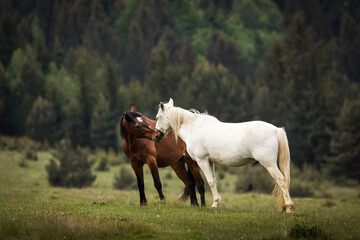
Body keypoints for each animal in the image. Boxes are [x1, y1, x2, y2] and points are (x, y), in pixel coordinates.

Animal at [153, 98, 294, 213]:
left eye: (158, 117)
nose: (156, 136)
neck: (194, 128)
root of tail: (275, 130)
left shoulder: (202, 160)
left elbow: (209, 182)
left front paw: (215, 204)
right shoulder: (210, 161)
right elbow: (214, 181)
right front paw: (218, 203)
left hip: (269, 164)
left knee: (281, 180)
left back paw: (289, 207)